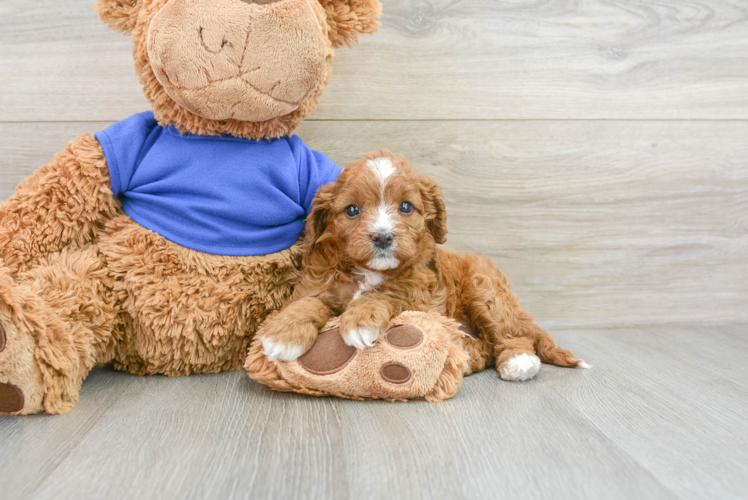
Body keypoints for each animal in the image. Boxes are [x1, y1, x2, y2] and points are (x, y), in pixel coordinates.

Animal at [260, 150, 588, 380]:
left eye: (406, 206)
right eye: (352, 210)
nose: (382, 237)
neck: (371, 270)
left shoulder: (423, 302)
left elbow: (386, 296)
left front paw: (362, 319)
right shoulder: (317, 283)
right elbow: (309, 302)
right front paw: (282, 334)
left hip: (485, 289)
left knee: (509, 334)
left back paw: (518, 362)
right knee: (485, 344)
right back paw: (466, 353)